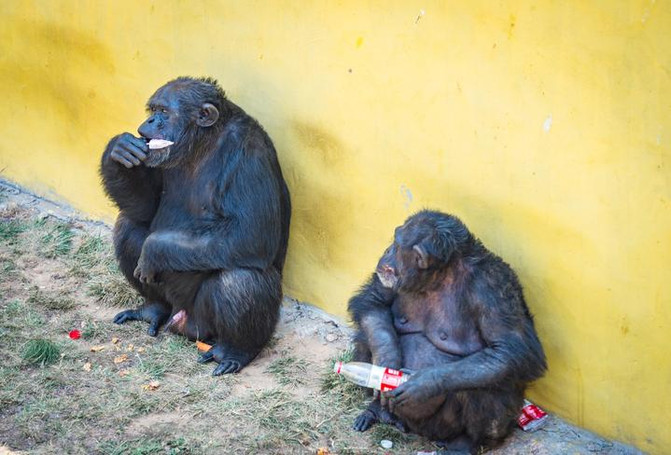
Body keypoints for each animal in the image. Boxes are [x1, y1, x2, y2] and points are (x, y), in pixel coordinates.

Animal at [99, 76, 292, 376]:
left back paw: (234, 351)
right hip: (171, 304)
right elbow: (145, 209)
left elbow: (250, 234)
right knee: (129, 227)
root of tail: (180, 319)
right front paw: (118, 150)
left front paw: (153, 250)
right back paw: (152, 309)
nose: (150, 121)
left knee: (241, 278)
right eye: (152, 110)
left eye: (164, 112)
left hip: (204, 325)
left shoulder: (250, 157)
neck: (202, 144)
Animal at [350, 210, 548, 452]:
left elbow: (511, 348)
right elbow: (374, 300)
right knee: (366, 333)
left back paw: (465, 443)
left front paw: (423, 384)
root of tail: (414, 430)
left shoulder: (493, 286)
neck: (439, 275)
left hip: (442, 428)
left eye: (397, 245)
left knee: (485, 377)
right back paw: (377, 411)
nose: (387, 250)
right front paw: (387, 361)